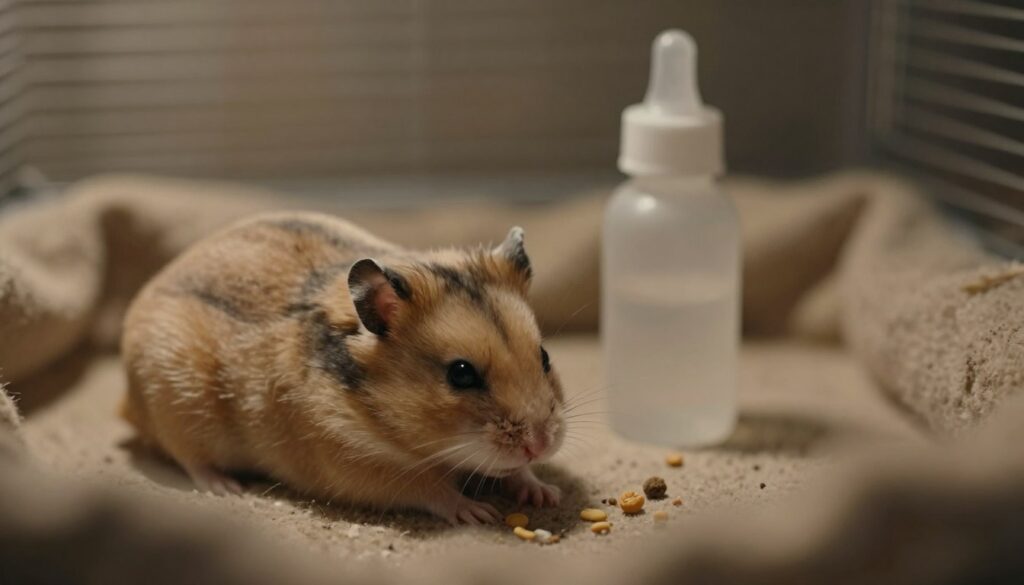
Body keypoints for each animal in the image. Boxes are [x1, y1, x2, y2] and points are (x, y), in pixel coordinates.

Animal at [120, 212, 565, 524]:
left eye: (544, 357)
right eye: (460, 373)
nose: (541, 444)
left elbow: (516, 472)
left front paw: (546, 493)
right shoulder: (360, 466)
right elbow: (431, 490)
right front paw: (480, 512)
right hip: (177, 406)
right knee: (189, 459)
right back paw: (227, 488)